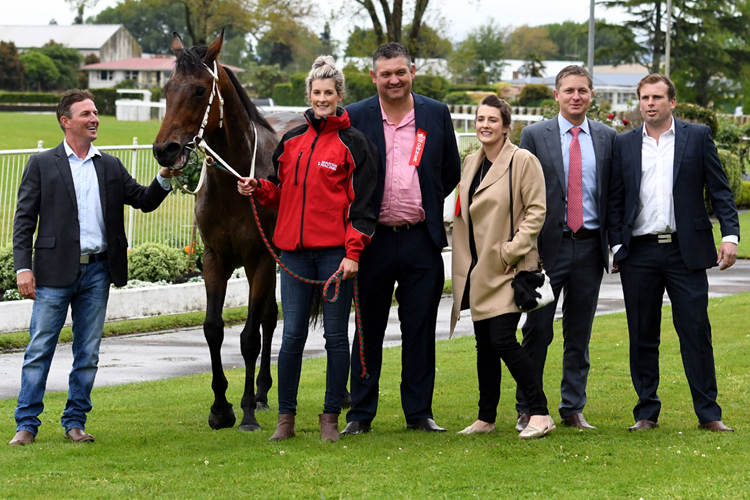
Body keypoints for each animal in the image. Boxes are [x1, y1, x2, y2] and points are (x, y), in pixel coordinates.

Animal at [153, 30, 306, 430]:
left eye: (198, 90)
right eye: (167, 88)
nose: (164, 149)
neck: (234, 183)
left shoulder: (259, 260)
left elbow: (249, 336)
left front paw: (247, 411)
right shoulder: (215, 259)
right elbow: (213, 328)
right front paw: (221, 407)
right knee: (270, 317)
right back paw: (265, 392)